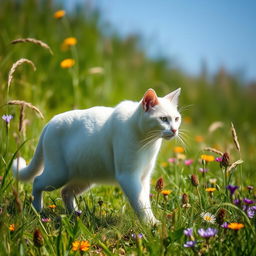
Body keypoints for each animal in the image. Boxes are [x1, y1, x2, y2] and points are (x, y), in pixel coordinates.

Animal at [12, 88, 180, 224]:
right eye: (163, 119)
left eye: (177, 118)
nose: (174, 130)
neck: (148, 142)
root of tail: (49, 122)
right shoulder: (128, 176)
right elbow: (140, 202)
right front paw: (150, 224)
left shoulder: (144, 177)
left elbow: (145, 202)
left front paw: (150, 222)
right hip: (58, 174)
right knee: (37, 181)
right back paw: (37, 209)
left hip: (84, 177)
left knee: (65, 192)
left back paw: (75, 215)